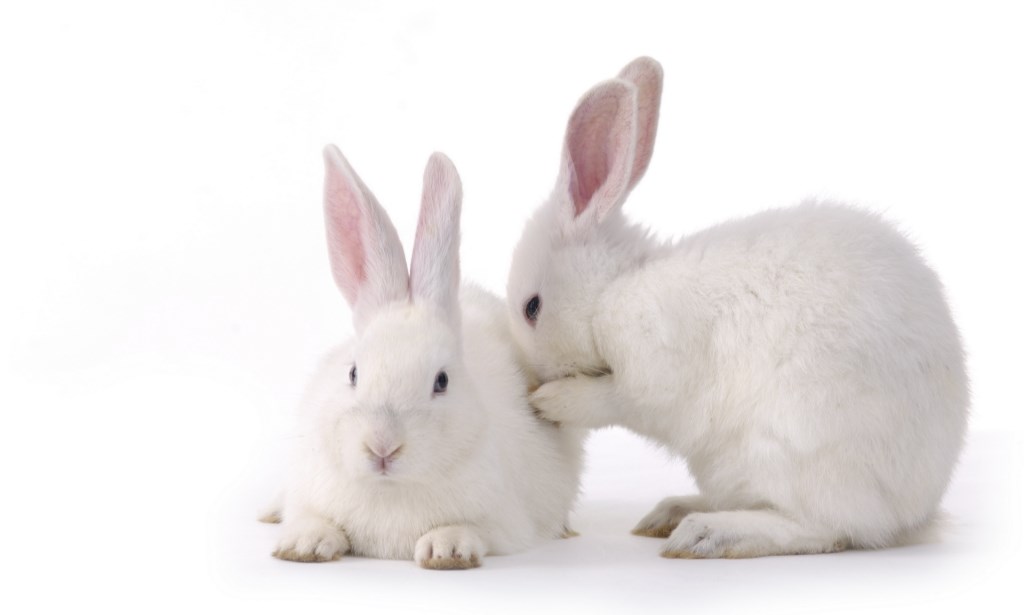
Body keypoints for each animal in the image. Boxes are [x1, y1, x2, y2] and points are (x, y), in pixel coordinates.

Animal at [272, 146, 584, 569]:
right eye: (353, 373)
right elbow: (311, 517)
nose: (382, 447)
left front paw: (445, 549)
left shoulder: (505, 524)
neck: (390, 490)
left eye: (442, 381)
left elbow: (472, 530)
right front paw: (305, 544)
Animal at [507, 57, 969, 558]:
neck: (612, 289)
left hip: (786, 456)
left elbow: (611, 399)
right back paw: (671, 512)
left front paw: (550, 401)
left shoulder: (648, 370)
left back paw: (705, 533)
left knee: (823, 528)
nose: (532, 377)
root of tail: (914, 510)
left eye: (532, 308)